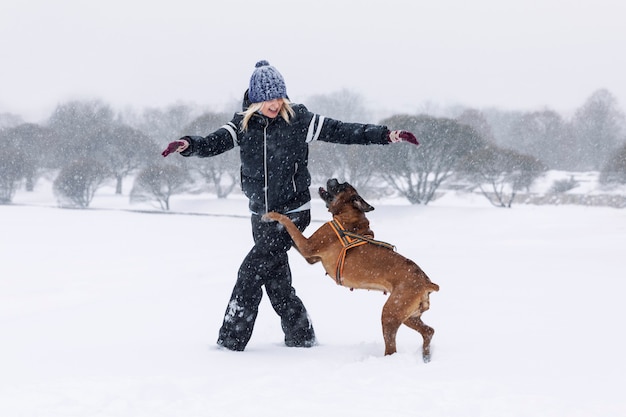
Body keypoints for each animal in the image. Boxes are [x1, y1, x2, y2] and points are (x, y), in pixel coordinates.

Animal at [264, 177, 438, 360]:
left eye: (342, 186)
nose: (333, 179)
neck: (348, 215)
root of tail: (427, 282)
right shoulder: (310, 257)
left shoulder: (307, 246)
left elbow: (289, 224)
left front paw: (272, 215)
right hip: (409, 315)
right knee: (429, 331)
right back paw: (426, 357)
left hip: (390, 313)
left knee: (392, 348)